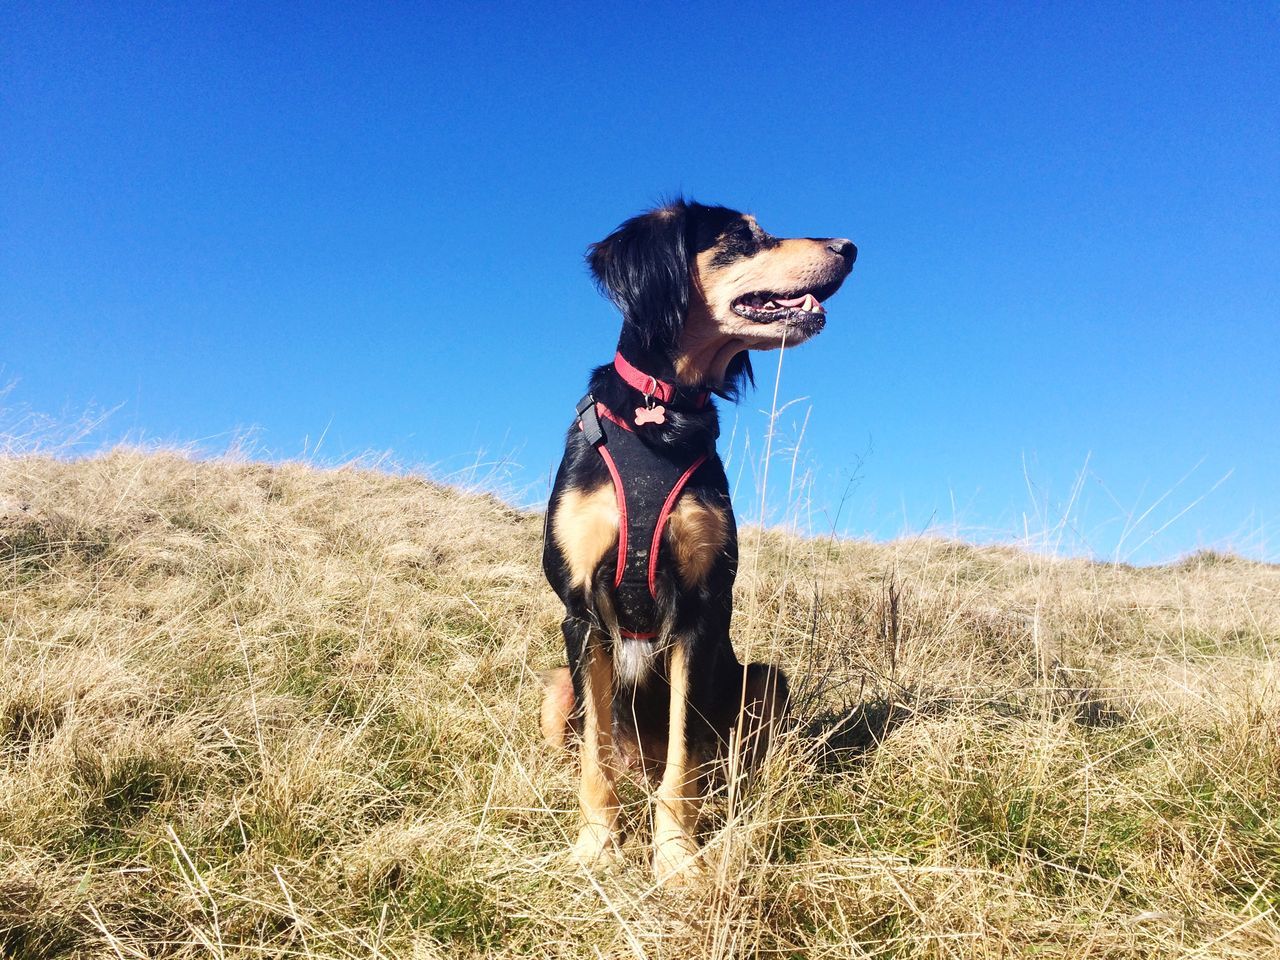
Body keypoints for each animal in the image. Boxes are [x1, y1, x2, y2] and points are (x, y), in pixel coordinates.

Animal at [535, 199, 855, 885]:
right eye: (741, 235)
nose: (850, 247)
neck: (661, 413)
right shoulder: (580, 612)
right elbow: (595, 756)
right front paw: (596, 846)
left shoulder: (700, 610)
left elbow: (684, 759)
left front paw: (677, 857)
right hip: (556, 685)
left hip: (765, 680)